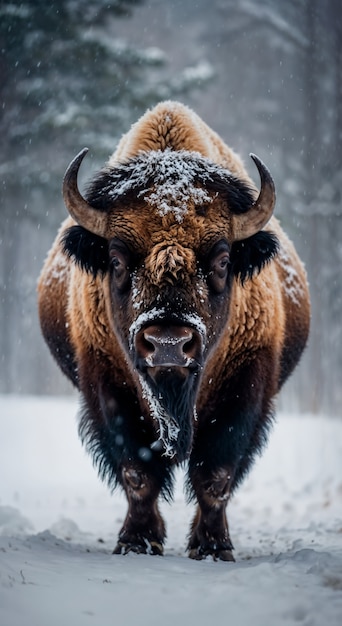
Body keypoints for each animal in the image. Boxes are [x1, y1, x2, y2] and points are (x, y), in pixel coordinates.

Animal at [37, 100, 310, 560]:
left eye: (222, 261)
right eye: (115, 260)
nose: (168, 344)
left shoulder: (246, 385)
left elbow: (216, 475)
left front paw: (213, 548)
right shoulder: (107, 383)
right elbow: (137, 472)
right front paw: (136, 541)